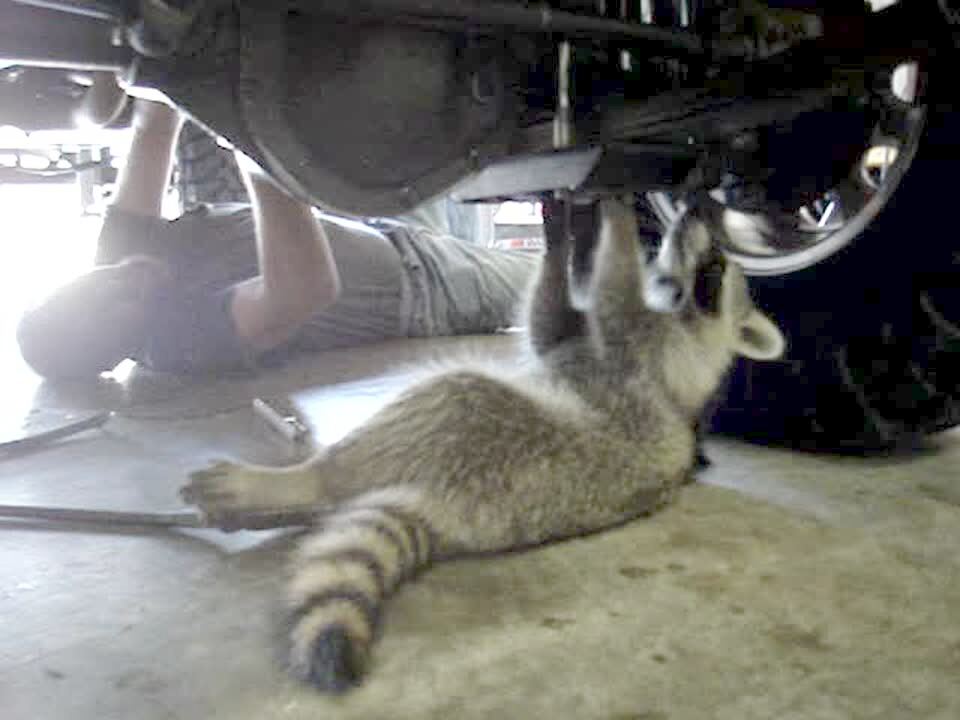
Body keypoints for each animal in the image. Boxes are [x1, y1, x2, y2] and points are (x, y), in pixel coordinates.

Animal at [181, 196, 785, 693]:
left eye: (715, 270)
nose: (695, 213)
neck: (680, 309)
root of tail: (445, 519)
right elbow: (548, 322)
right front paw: (561, 234)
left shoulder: (649, 357)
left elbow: (613, 303)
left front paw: (614, 220)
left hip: (498, 440)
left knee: (442, 401)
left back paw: (303, 479)